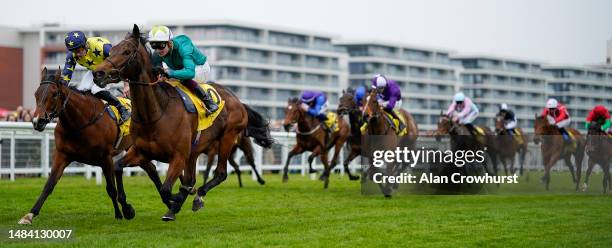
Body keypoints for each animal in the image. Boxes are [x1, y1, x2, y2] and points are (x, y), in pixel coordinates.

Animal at [18, 68, 166, 225]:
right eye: (36, 94)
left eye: (54, 94)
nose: (37, 122)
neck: (80, 123)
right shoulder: (62, 155)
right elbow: (49, 185)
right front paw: (30, 215)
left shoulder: (105, 157)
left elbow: (111, 189)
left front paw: (120, 214)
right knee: (140, 169)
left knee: (151, 170)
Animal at [92, 24, 272, 220]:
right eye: (110, 51)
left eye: (127, 51)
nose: (98, 73)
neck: (156, 114)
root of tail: (237, 100)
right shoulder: (141, 152)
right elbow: (118, 168)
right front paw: (127, 208)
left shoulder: (178, 156)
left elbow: (166, 189)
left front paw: (176, 201)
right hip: (195, 151)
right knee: (193, 178)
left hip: (227, 139)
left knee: (220, 173)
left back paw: (197, 196)